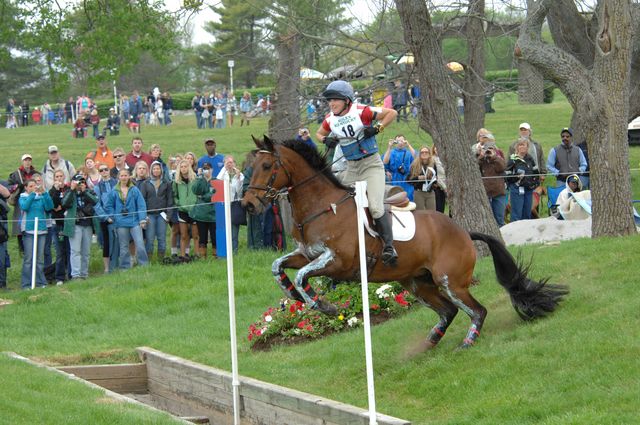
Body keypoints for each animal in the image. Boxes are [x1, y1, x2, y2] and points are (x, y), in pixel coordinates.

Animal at [242, 136, 568, 348]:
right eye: (250, 166)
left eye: (268, 166)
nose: (248, 205)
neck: (322, 207)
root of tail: (464, 232)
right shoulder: (307, 253)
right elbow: (279, 266)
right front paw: (296, 296)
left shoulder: (339, 262)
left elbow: (301, 275)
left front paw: (324, 306)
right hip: (417, 283)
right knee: (448, 312)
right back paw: (427, 345)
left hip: (450, 281)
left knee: (477, 310)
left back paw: (466, 343)